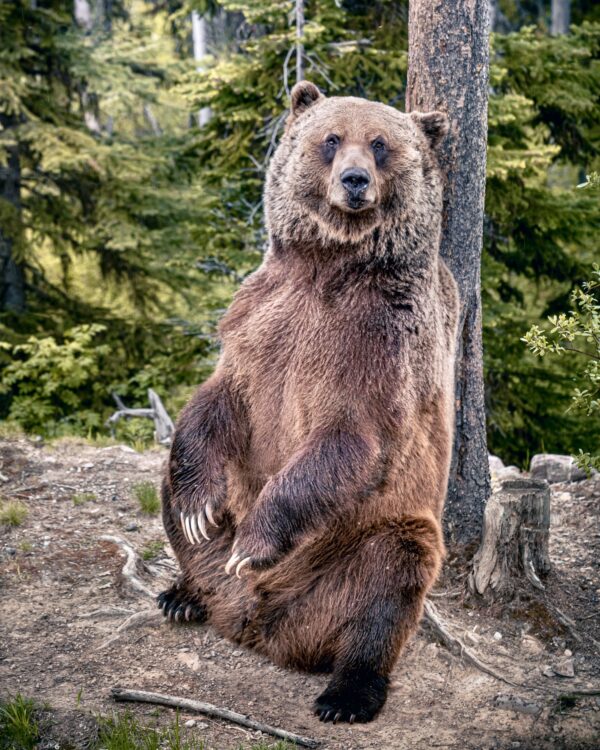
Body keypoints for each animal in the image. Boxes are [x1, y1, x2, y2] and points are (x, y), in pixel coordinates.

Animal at [159, 82, 460, 728]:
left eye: (381, 143)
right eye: (331, 138)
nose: (354, 179)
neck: (329, 267)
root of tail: (250, 621)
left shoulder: (381, 339)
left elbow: (352, 437)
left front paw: (254, 542)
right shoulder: (261, 316)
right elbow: (219, 398)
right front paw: (197, 506)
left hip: (359, 545)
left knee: (389, 580)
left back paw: (347, 692)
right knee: (168, 493)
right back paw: (184, 592)